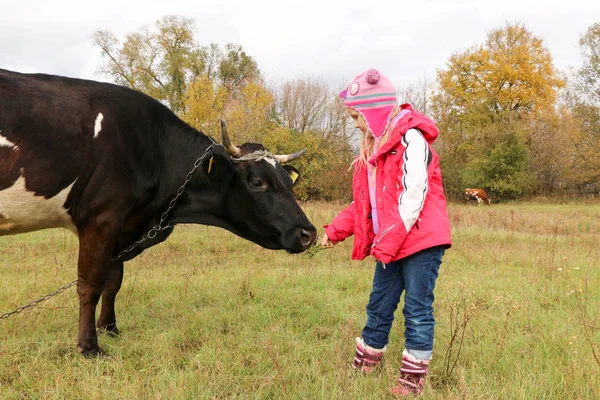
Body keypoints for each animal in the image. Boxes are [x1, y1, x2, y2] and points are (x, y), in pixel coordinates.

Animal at [0, 69, 318, 356]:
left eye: (289, 180)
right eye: (257, 182)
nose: (309, 233)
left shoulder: (122, 226)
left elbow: (113, 281)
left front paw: (110, 328)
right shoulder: (101, 218)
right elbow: (90, 284)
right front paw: (89, 347)